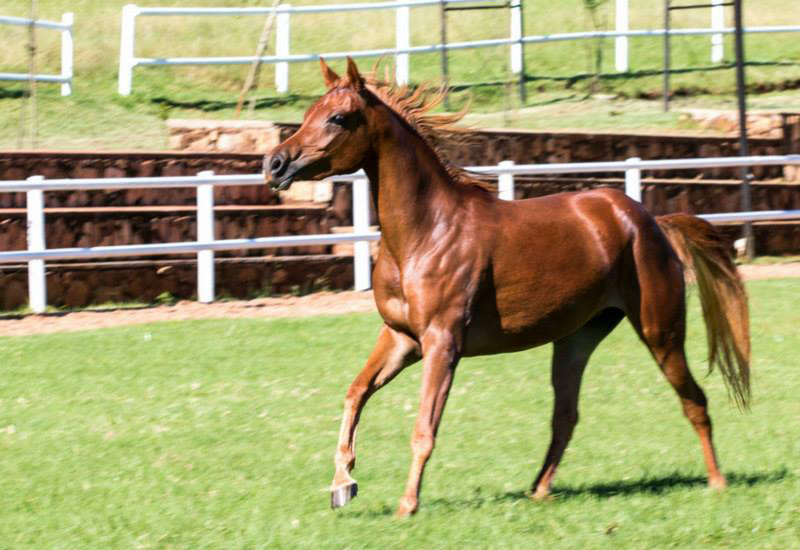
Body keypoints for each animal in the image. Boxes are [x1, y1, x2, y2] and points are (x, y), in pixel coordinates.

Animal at [264, 58, 750, 517]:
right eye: (308, 113)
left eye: (338, 117)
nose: (275, 164)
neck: (426, 231)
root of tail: (651, 222)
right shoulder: (402, 338)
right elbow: (355, 393)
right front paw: (342, 484)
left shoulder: (442, 342)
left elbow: (423, 428)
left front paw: (407, 505)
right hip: (576, 339)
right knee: (566, 416)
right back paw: (539, 490)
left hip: (660, 331)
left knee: (694, 400)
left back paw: (717, 483)